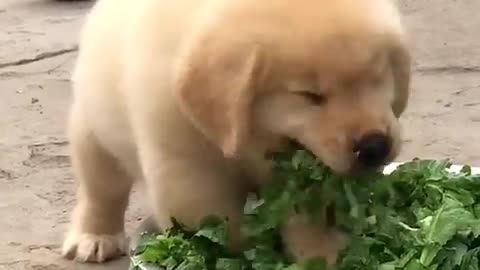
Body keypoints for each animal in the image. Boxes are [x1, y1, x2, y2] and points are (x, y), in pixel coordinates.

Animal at [62, 0, 410, 264]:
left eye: (378, 78)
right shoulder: (186, 166)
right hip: (93, 130)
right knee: (101, 190)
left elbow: (310, 213)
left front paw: (323, 253)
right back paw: (95, 236)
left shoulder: (303, 173)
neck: (250, 143)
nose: (375, 147)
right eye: (310, 96)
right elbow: (219, 223)